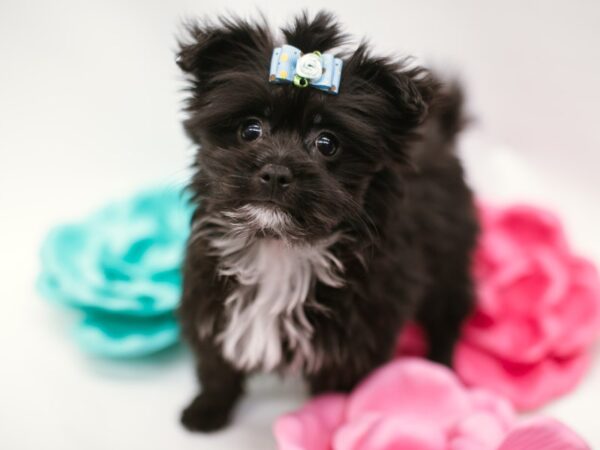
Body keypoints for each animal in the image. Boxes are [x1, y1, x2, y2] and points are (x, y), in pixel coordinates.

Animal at [175, 11, 478, 432]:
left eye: (327, 143)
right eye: (250, 129)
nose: (276, 172)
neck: (279, 247)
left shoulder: (356, 340)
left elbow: (339, 392)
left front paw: (332, 422)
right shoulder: (212, 305)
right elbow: (216, 365)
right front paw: (207, 409)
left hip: (448, 258)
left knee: (447, 314)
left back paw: (441, 365)